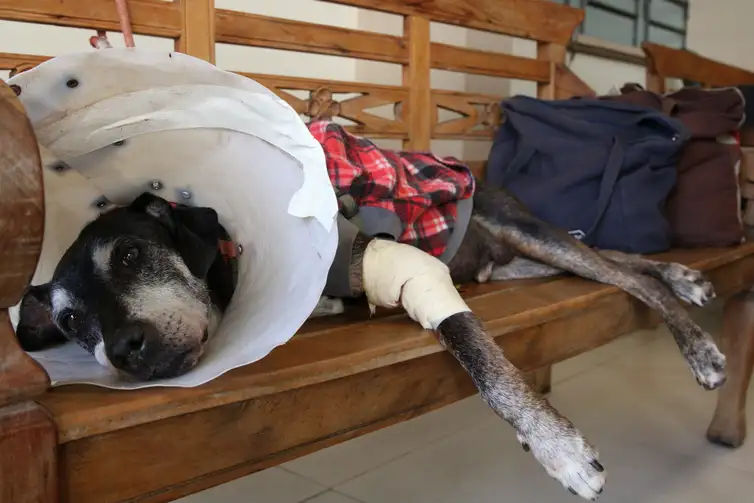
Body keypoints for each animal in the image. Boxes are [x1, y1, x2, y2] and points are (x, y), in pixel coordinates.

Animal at [16, 182, 724, 500]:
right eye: (73, 321)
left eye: (131, 254)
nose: (124, 347)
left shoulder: (410, 266)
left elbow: (479, 356)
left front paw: (559, 450)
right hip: (526, 264)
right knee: (619, 262)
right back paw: (683, 276)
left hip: (533, 238)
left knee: (628, 277)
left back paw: (697, 336)